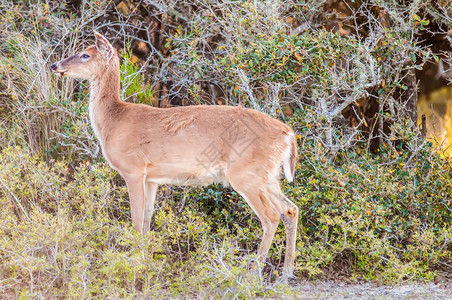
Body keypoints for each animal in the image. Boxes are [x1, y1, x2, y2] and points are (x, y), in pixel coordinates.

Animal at [49, 31, 298, 274]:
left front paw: (135, 263)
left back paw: (254, 272)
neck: (113, 121)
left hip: (245, 173)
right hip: (268, 175)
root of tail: (288, 133)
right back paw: (287, 271)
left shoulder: (133, 169)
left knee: (271, 216)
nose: (54, 65)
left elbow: (136, 217)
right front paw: (145, 258)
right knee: (290, 209)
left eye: (85, 54)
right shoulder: (151, 178)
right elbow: (147, 217)